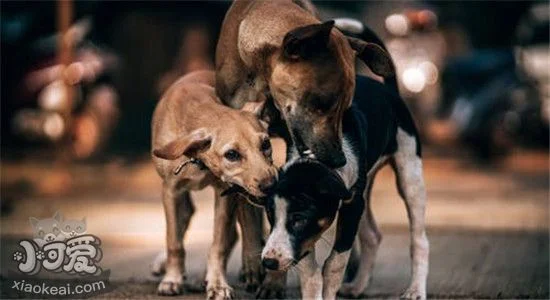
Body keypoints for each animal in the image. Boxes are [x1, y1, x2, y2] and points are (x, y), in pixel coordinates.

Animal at [151, 71, 278, 298]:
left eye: (265, 144)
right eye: (232, 154)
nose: (271, 185)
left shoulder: (225, 193)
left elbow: (218, 245)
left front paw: (218, 284)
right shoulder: (171, 191)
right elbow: (174, 241)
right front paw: (172, 279)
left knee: (238, 233)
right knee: (185, 218)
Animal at [254, 74, 432, 298]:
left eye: (299, 219)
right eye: (270, 215)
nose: (269, 262)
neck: (319, 156)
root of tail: (390, 89)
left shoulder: (351, 204)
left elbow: (334, 264)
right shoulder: (339, 212)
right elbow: (309, 271)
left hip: (409, 173)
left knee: (419, 240)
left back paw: (415, 290)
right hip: (367, 187)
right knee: (372, 236)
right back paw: (358, 286)